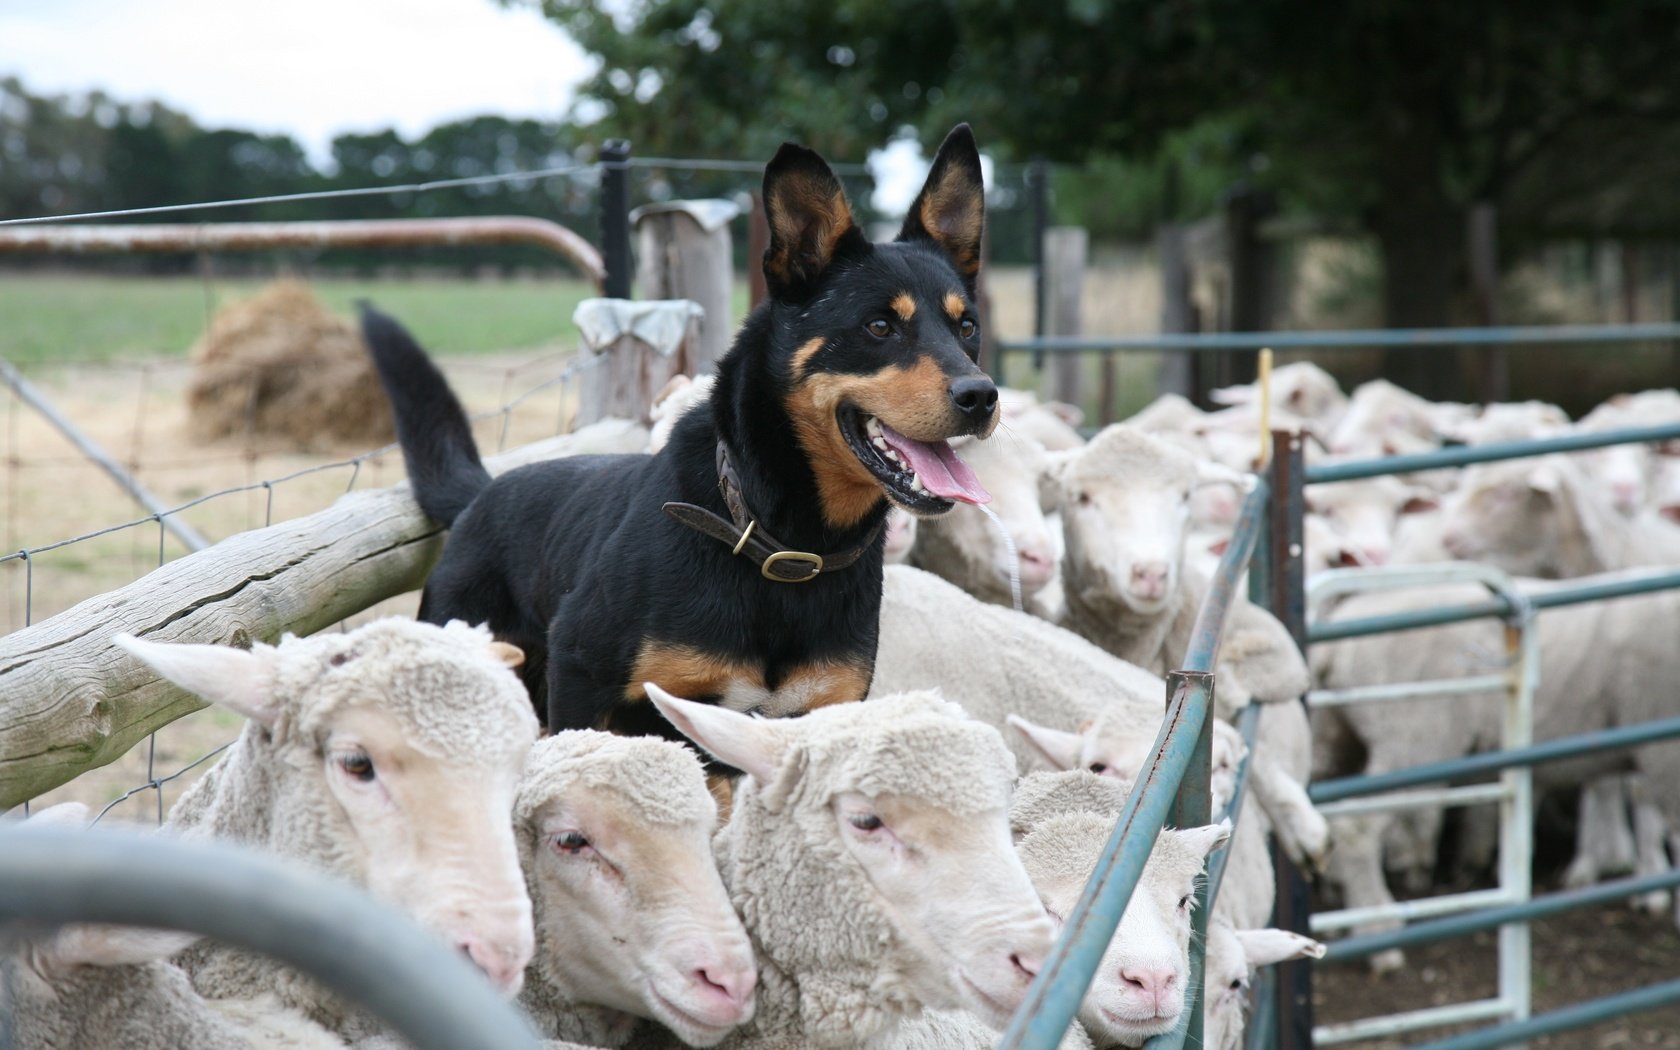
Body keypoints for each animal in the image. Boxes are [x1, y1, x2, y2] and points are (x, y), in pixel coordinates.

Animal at [364, 126, 994, 742]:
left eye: (967, 328)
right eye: (880, 326)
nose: (982, 397)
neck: (784, 543)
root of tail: (483, 495)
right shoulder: (581, 677)